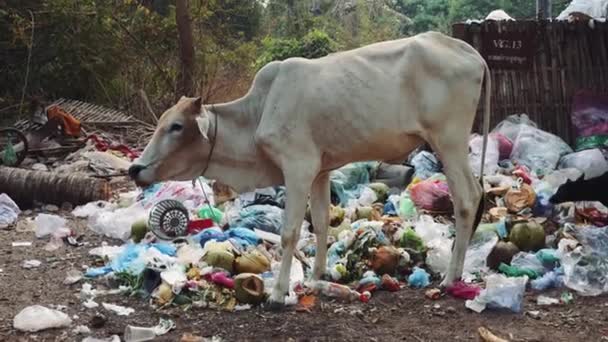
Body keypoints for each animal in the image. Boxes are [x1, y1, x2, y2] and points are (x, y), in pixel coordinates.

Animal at [131, 30, 492, 308]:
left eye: (176, 127)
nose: (135, 169)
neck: (259, 111)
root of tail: (470, 52)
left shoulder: (298, 167)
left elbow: (290, 232)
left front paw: (278, 294)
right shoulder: (320, 171)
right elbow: (319, 224)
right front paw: (318, 277)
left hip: (449, 141)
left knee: (467, 198)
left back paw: (450, 278)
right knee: (474, 195)